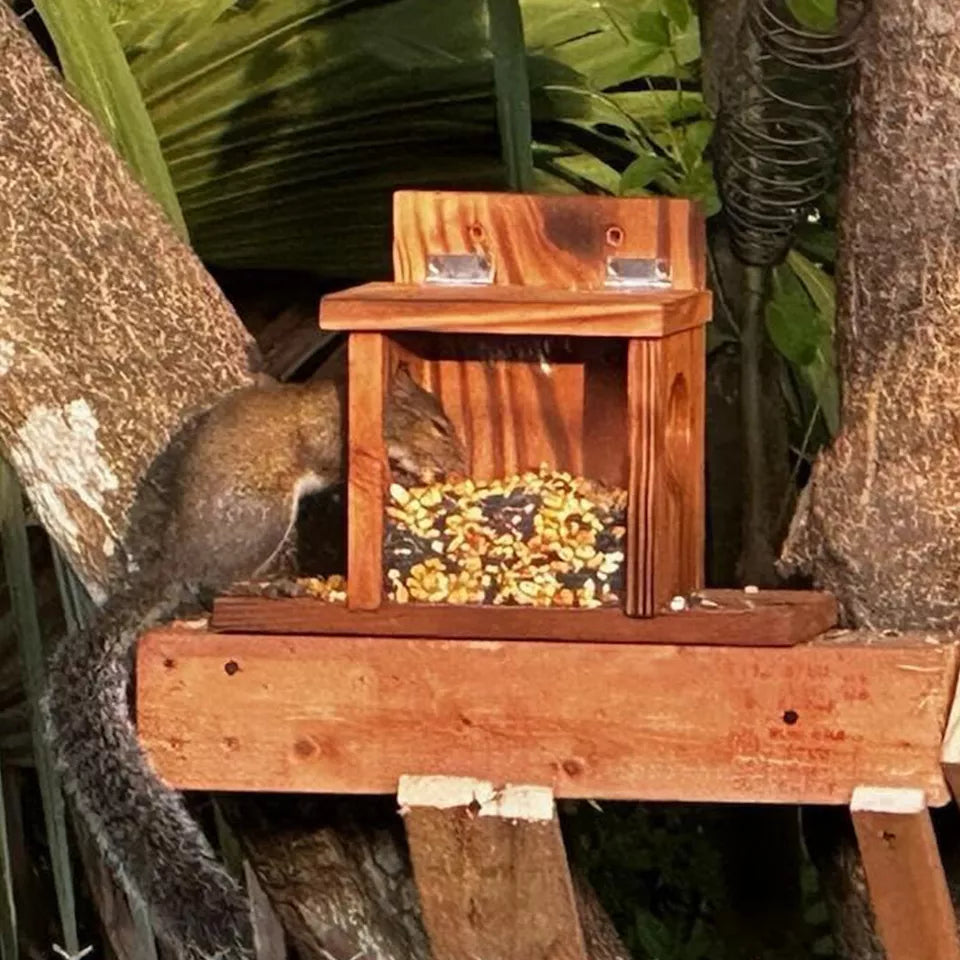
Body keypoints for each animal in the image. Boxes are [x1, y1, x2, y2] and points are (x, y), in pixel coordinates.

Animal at [41, 365, 466, 960]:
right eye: (437, 425)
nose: (460, 463)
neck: (349, 402)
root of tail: (176, 558)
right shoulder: (331, 438)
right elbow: (343, 459)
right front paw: (397, 467)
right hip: (261, 519)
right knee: (215, 583)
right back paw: (269, 586)